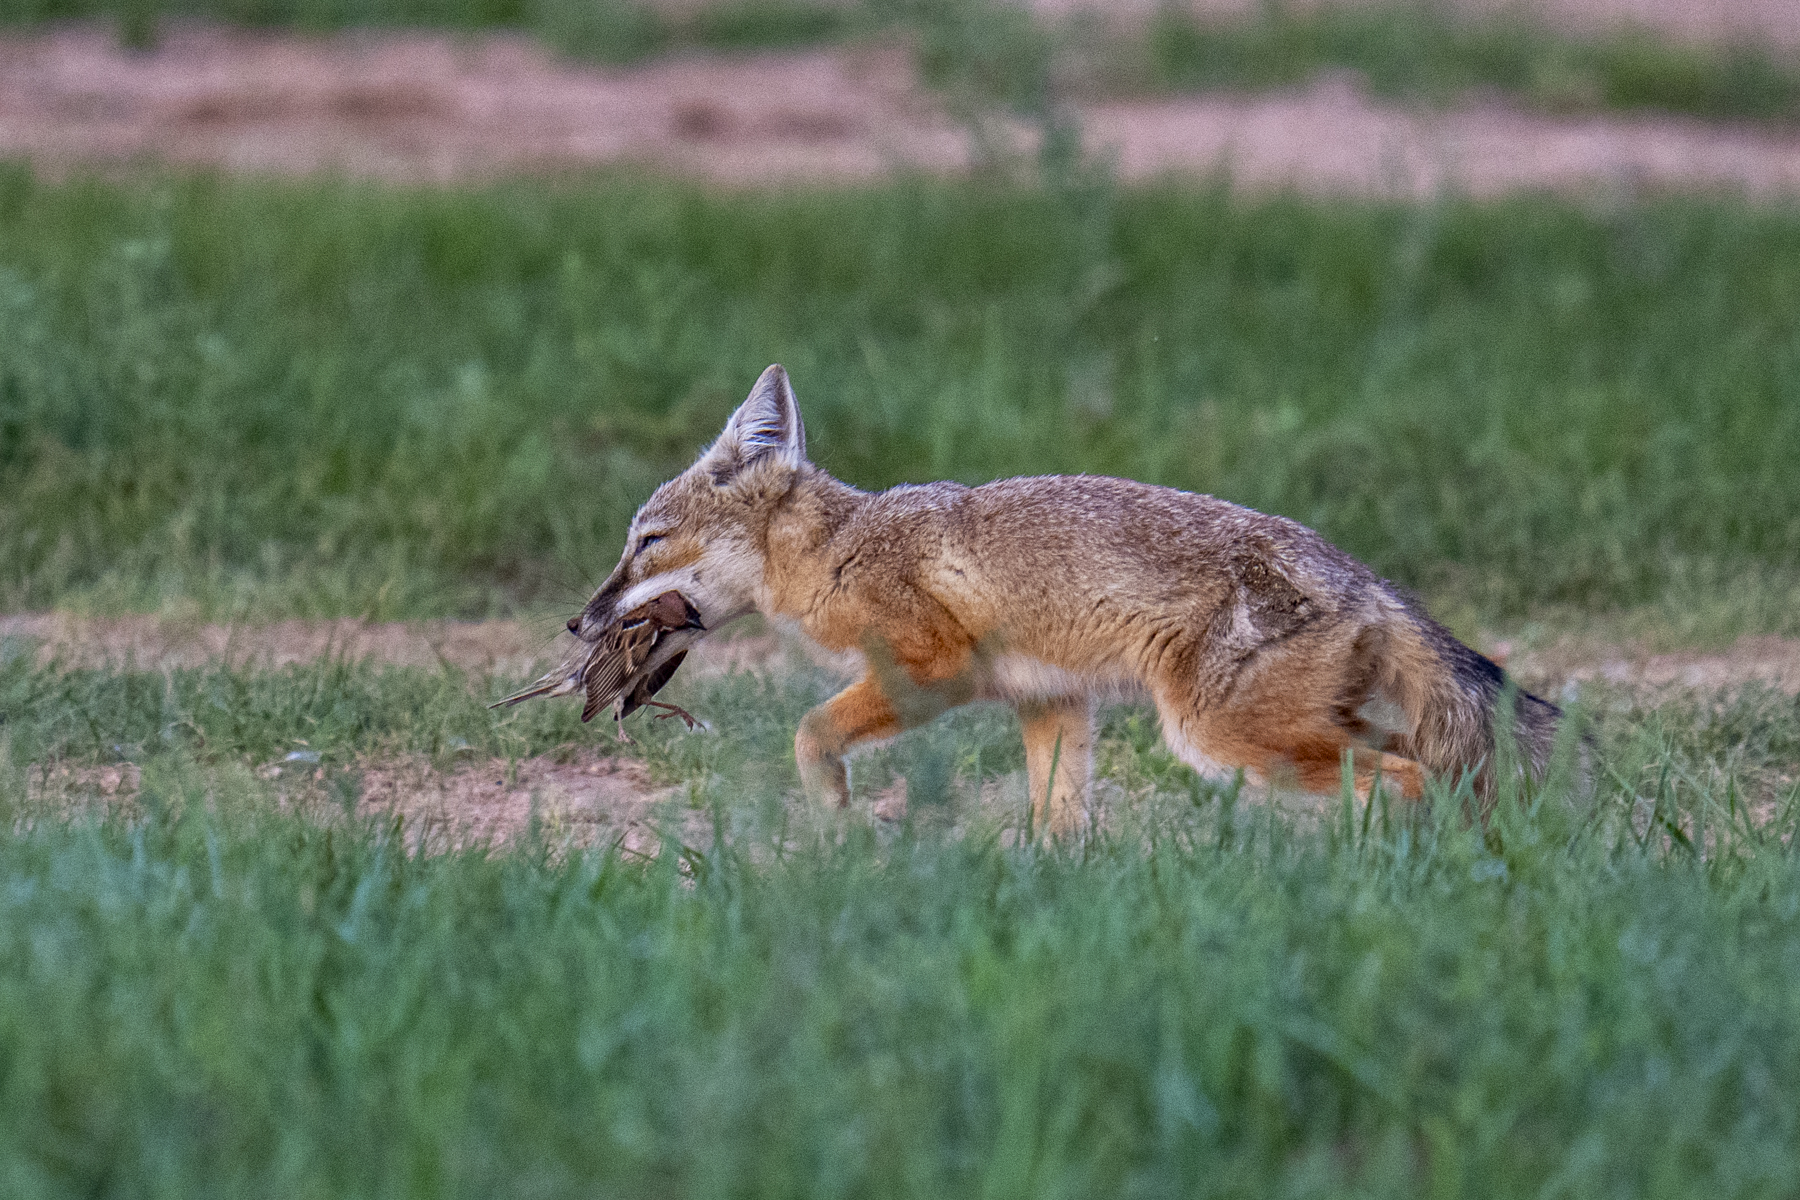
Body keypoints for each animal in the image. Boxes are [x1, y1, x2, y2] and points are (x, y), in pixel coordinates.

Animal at [569, 364, 1566, 836]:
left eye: (646, 542)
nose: (577, 621)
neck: (840, 550)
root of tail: (1365, 577)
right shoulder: (1053, 702)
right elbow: (1060, 828)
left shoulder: (933, 669)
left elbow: (811, 731)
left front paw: (835, 819)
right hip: (1302, 730)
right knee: (1430, 775)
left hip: (1223, 741)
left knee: (1408, 781)